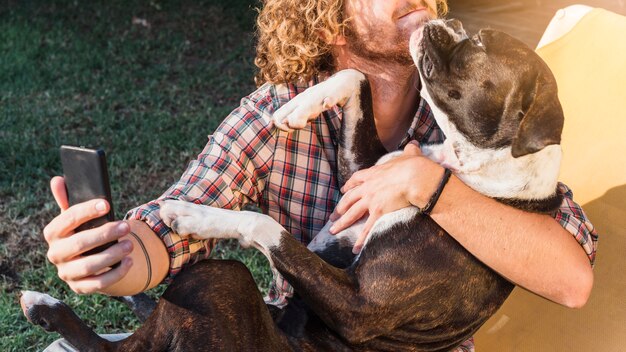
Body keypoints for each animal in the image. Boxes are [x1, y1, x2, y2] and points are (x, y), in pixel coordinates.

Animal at [22, 20, 564, 352]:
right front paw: (298, 107)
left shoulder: (359, 307)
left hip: (222, 282)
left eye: (481, 43)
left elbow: (266, 227)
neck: (470, 170)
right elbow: (355, 78)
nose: (442, 22)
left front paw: (193, 215)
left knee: (128, 342)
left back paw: (48, 308)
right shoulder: (361, 171)